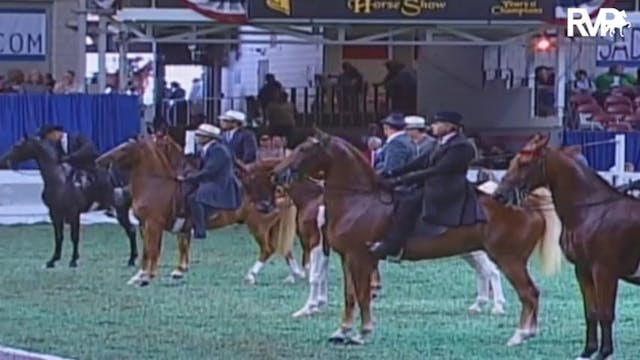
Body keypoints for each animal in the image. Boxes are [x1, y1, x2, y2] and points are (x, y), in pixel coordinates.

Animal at [97, 136, 302, 286]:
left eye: (124, 148)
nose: (100, 160)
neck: (155, 184)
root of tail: (277, 193)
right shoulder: (146, 226)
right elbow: (150, 251)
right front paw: (141, 276)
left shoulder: (153, 225)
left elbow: (153, 250)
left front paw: (147, 276)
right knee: (285, 250)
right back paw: (295, 275)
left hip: (258, 227)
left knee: (268, 249)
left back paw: (251, 275)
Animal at [272, 130, 564, 346]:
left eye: (304, 150)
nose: (277, 173)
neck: (359, 200)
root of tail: (526, 204)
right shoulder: (347, 257)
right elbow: (350, 294)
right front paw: (342, 331)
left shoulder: (359, 257)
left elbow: (363, 294)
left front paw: (362, 333)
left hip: (509, 260)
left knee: (528, 293)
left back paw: (520, 334)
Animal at [496, 134, 640, 360]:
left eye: (524, 163)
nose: (500, 195)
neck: (592, 212)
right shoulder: (583, 270)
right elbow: (591, 312)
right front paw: (588, 351)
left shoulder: (604, 272)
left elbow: (606, 313)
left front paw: (603, 352)